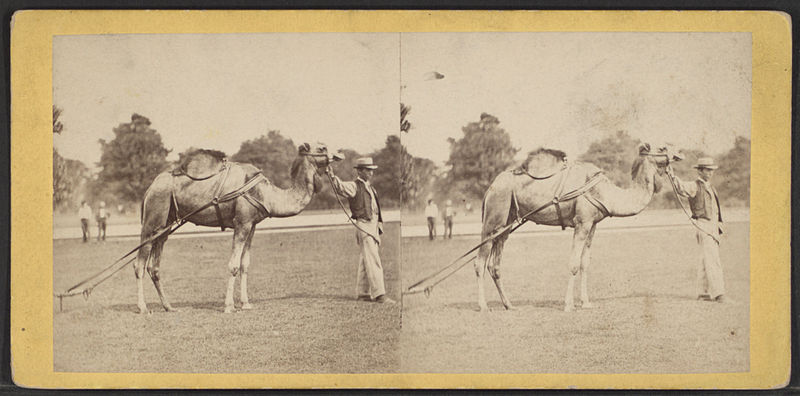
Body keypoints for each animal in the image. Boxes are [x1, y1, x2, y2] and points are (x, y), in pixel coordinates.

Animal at [135, 142, 334, 312]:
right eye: (322, 148)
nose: (337, 155)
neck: (267, 195)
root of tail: (150, 188)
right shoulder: (241, 223)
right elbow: (233, 265)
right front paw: (229, 306)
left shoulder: (251, 225)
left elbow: (245, 264)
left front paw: (246, 303)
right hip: (152, 219)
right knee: (139, 264)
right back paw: (143, 308)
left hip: (165, 225)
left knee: (154, 267)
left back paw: (169, 307)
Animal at [478, 142, 680, 312]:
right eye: (662, 147)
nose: (679, 154)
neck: (606, 193)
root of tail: (490, 188)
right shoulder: (581, 222)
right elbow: (574, 263)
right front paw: (569, 305)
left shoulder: (592, 224)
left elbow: (585, 263)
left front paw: (586, 303)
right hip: (493, 218)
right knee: (480, 261)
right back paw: (484, 307)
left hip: (506, 223)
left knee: (495, 265)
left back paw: (509, 305)